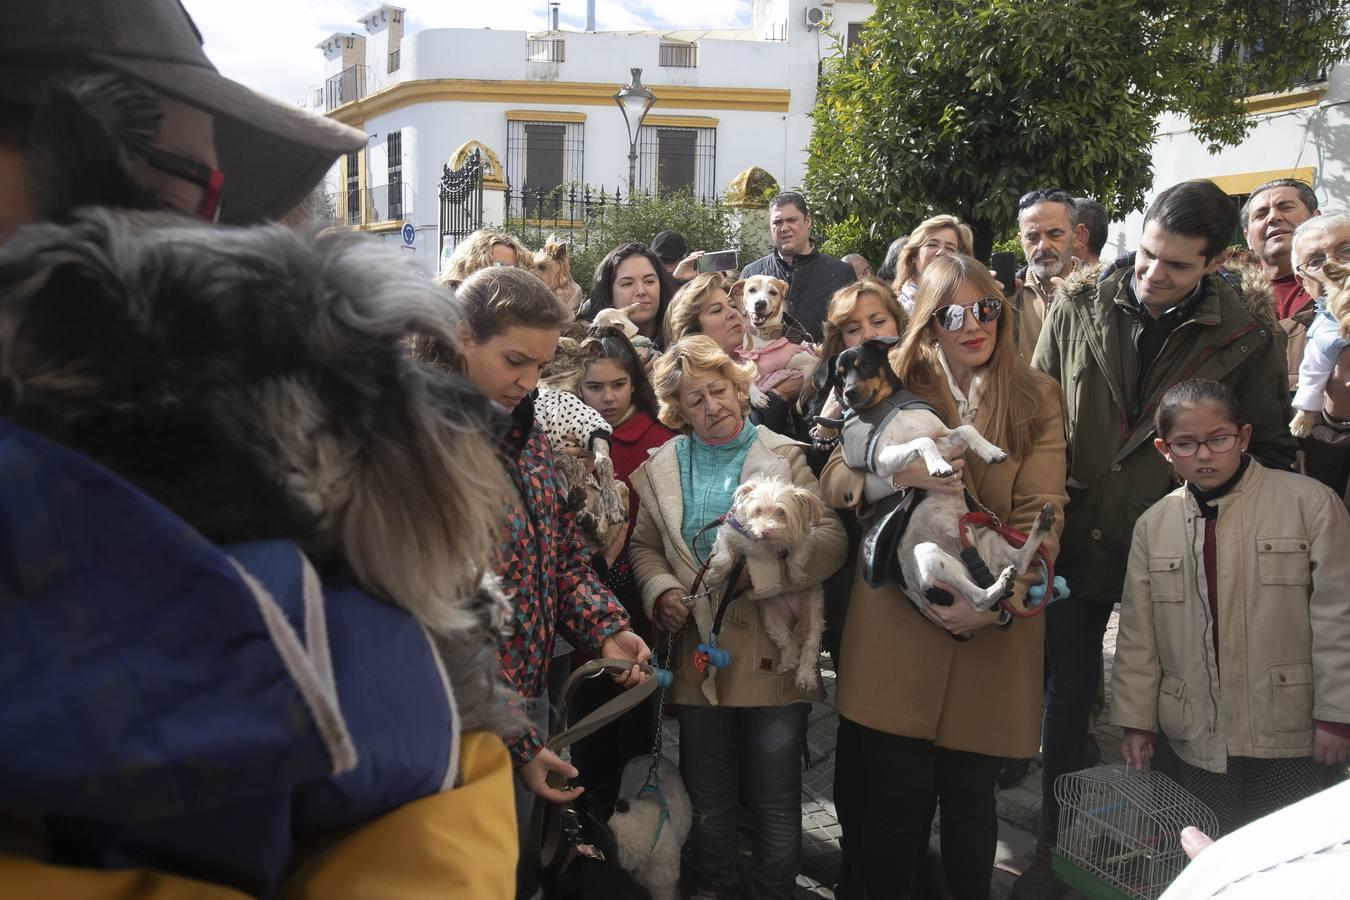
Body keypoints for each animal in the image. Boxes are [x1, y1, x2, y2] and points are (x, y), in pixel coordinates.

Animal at [707, 472, 820, 690]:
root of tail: (794, 614)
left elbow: (797, 554)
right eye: (757, 511)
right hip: (773, 618)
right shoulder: (728, 534)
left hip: (812, 615)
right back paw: (787, 663)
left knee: (809, 646)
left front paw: (795, 574)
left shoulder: (803, 538)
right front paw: (714, 575)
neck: (763, 544)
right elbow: (724, 557)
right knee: (788, 643)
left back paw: (805, 676)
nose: (764, 531)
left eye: (781, 512)